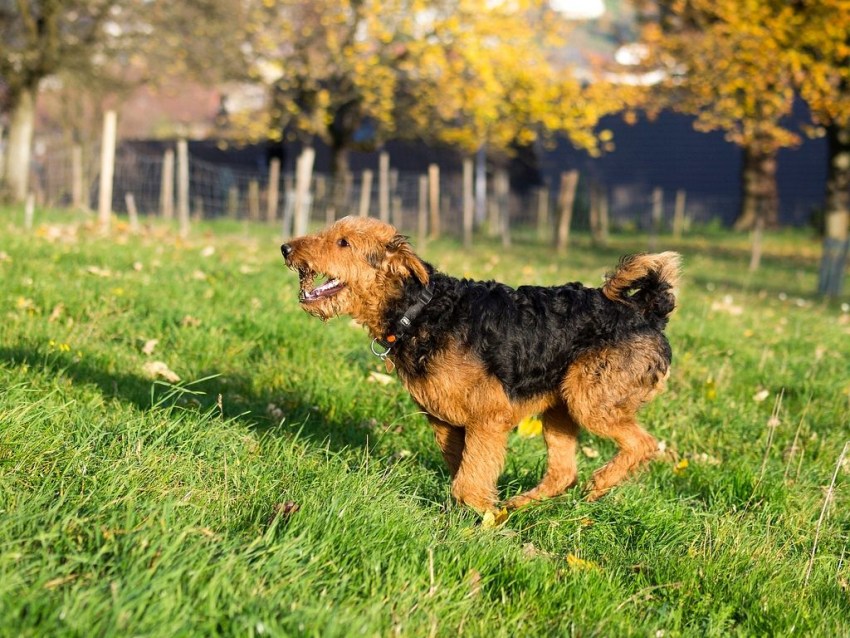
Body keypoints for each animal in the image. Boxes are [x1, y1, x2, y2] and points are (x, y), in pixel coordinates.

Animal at [282, 219, 680, 516]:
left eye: (344, 242)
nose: (286, 249)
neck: (421, 310)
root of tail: (648, 311)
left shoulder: (488, 416)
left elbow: (468, 478)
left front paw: (483, 515)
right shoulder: (443, 419)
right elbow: (462, 466)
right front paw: (481, 510)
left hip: (590, 402)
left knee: (643, 444)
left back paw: (598, 486)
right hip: (560, 408)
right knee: (563, 472)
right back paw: (518, 505)